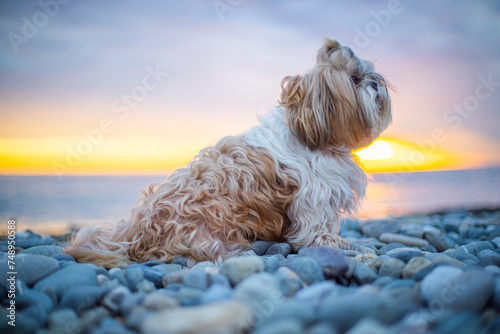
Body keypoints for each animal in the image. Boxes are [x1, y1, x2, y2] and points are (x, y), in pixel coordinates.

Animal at [63, 37, 390, 268]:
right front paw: (333, 244)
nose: (376, 82)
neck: (308, 132)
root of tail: (133, 234)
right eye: (354, 80)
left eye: (368, 73)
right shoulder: (314, 196)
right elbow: (317, 227)